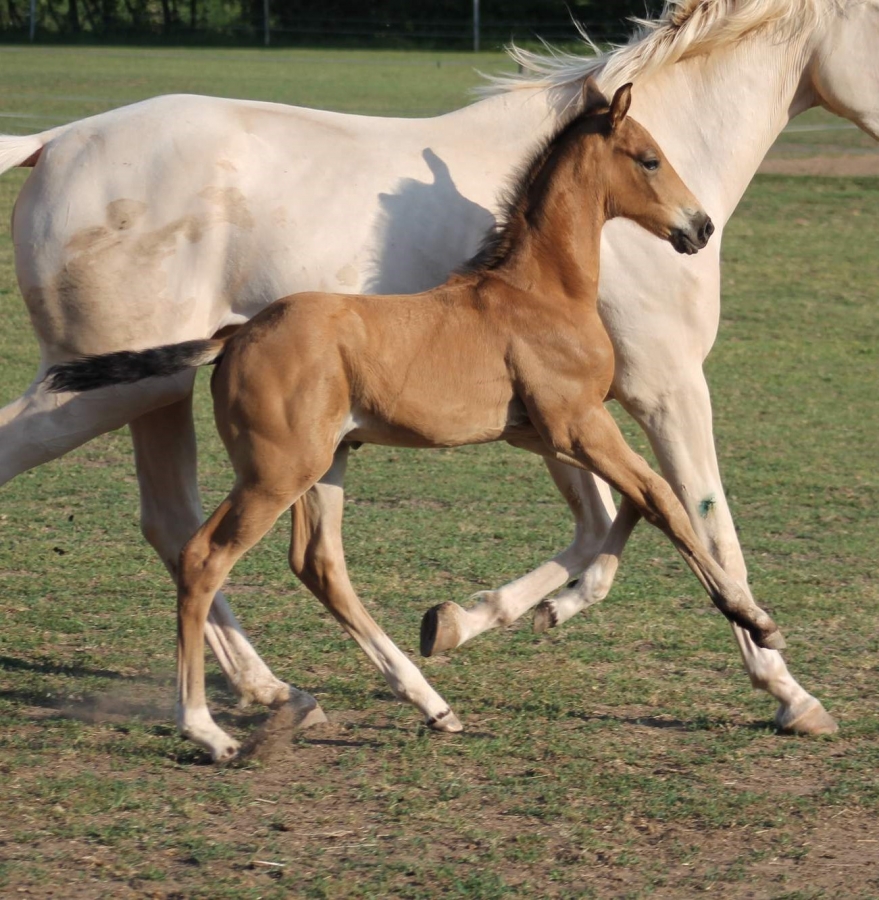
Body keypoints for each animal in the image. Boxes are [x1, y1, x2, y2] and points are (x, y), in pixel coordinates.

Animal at [2, 0, 870, 735]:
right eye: (648, 159)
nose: (697, 228)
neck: (532, 279)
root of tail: (53, 141)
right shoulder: (654, 390)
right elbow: (693, 514)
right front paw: (783, 679)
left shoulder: (554, 422)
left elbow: (606, 522)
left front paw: (478, 618)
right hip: (125, 397)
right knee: (188, 538)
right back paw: (241, 710)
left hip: (192, 407)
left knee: (203, 534)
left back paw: (287, 693)